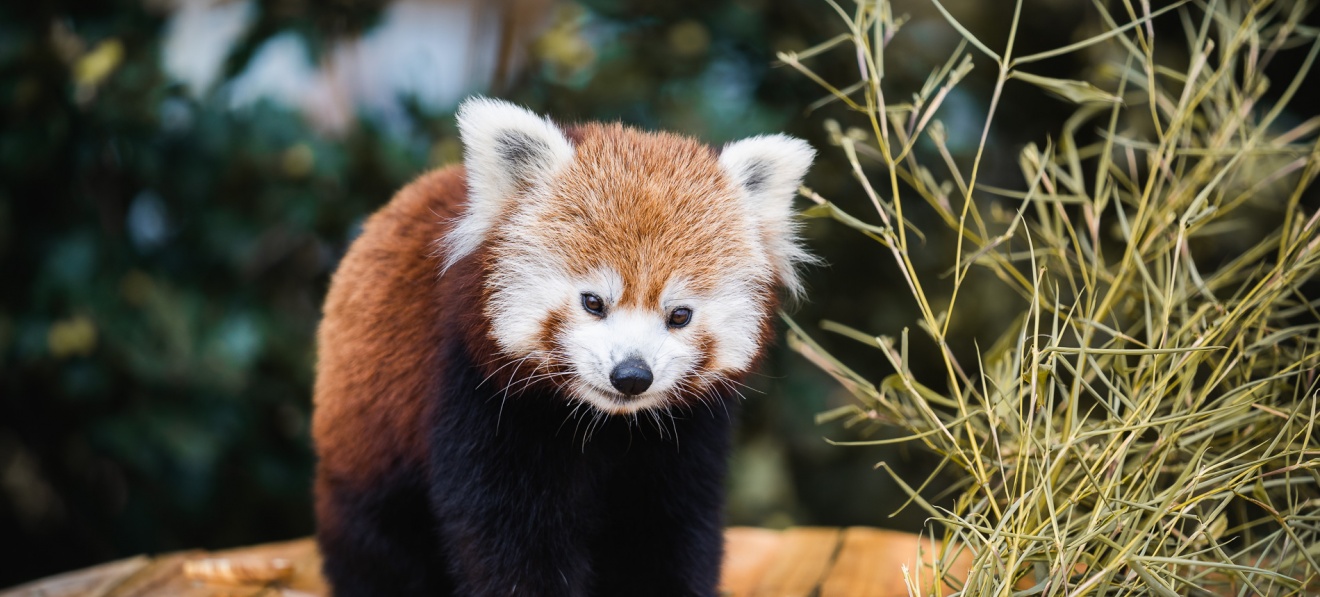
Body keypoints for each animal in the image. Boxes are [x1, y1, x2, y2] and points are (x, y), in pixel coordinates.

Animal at [310, 95, 813, 594]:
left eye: (679, 315)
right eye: (593, 302)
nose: (632, 376)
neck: (606, 427)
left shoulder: (686, 437)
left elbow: (669, 532)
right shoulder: (478, 401)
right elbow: (512, 542)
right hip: (367, 451)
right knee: (379, 549)